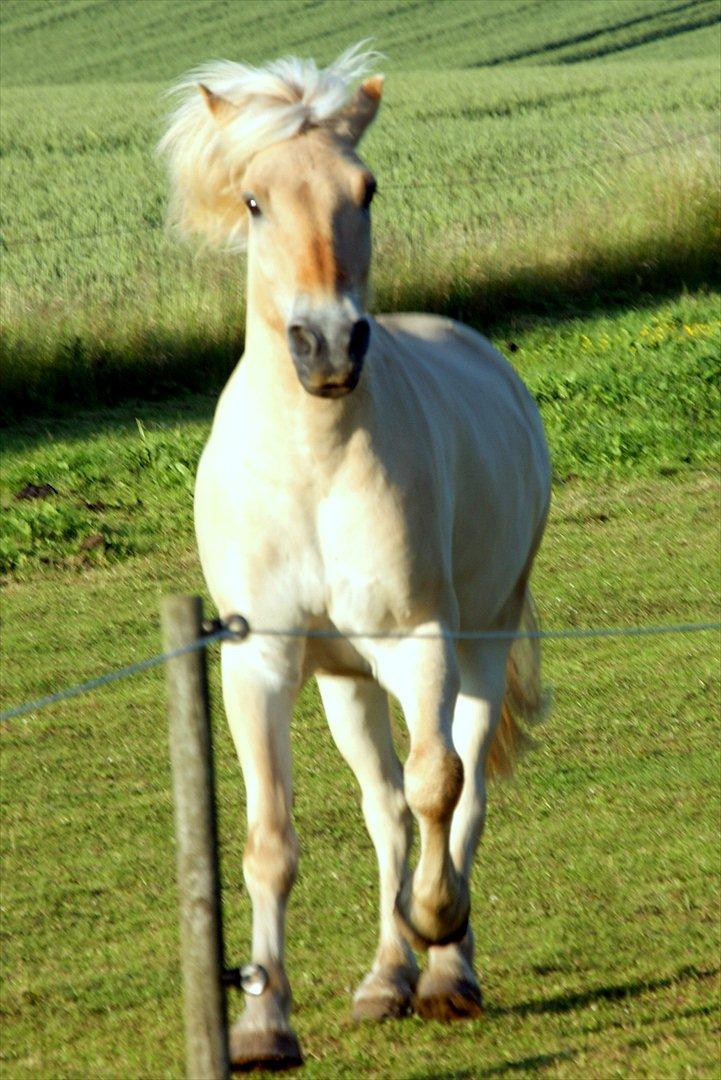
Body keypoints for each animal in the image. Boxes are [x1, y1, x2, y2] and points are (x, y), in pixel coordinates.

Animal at [160, 44, 548, 1071]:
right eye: (254, 200)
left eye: (363, 190)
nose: (327, 344)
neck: (313, 461)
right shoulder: (258, 662)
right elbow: (270, 836)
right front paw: (261, 1024)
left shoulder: (420, 643)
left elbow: (439, 787)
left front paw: (437, 924)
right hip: (343, 680)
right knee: (383, 812)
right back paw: (385, 979)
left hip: (478, 642)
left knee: (457, 792)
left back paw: (444, 970)